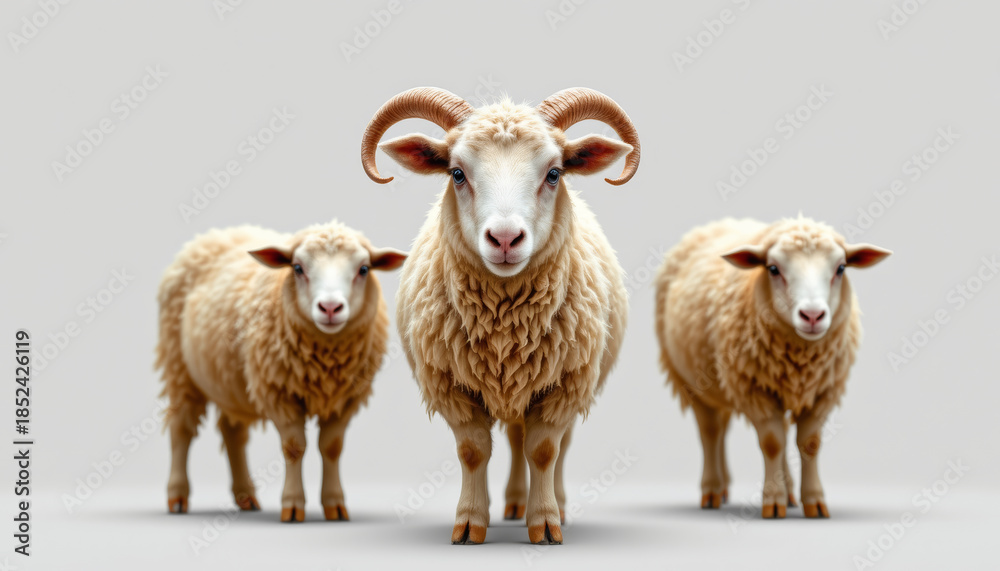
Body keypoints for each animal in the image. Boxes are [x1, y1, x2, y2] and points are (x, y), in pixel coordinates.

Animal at [155, 220, 406, 522]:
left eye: (364, 269)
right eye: (297, 267)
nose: (330, 308)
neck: (326, 360)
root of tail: (217, 234)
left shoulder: (346, 398)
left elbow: (331, 448)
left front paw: (335, 505)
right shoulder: (279, 393)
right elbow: (294, 448)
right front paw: (293, 506)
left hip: (231, 383)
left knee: (232, 433)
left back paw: (246, 497)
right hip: (180, 368)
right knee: (181, 430)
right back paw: (177, 498)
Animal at [360, 87, 640, 544]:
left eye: (555, 173)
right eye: (456, 173)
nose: (505, 239)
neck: (506, 327)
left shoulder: (564, 386)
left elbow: (544, 450)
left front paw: (545, 524)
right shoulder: (452, 386)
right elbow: (474, 451)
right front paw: (470, 523)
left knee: (552, 445)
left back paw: (549, 505)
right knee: (512, 436)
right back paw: (509, 504)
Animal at [654, 216, 891, 519]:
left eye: (840, 268)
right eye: (773, 269)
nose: (812, 316)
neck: (800, 355)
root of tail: (718, 223)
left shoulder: (822, 392)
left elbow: (809, 444)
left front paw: (813, 502)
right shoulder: (754, 389)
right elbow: (772, 443)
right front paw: (773, 503)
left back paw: (779, 492)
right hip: (690, 381)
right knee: (711, 433)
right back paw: (713, 491)